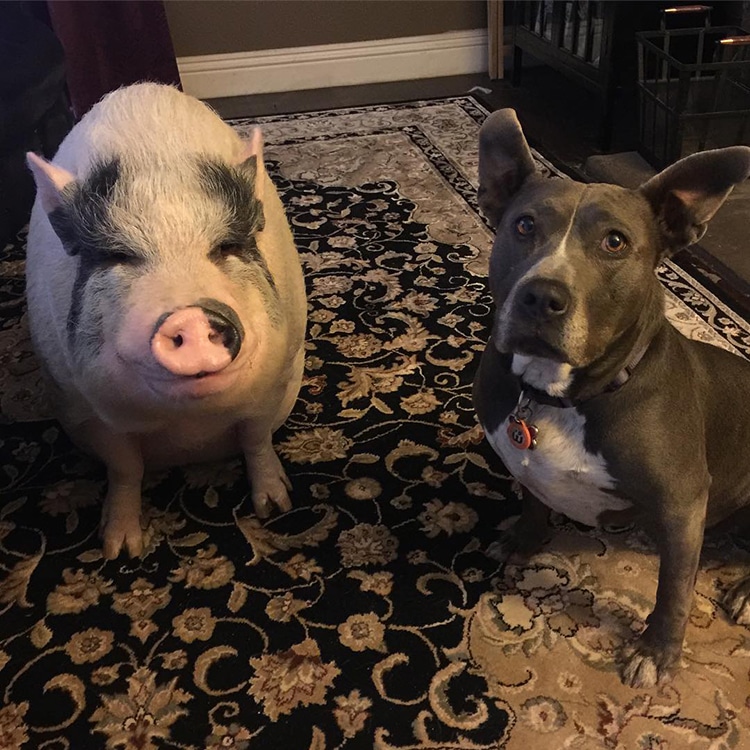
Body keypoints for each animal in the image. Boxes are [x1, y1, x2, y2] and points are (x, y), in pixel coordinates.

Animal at [25, 85, 308, 560]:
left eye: (227, 247)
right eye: (118, 256)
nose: (191, 315)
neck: (188, 428)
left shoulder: (274, 377)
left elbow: (256, 439)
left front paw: (276, 508)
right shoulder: (89, 410)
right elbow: (125, 469)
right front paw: (119, 551)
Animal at [476, 108, 750, 692]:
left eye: (615, 242)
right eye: (524, 225)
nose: (542, 295)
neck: (560, 395)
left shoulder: (682, 505)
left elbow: (674, 589)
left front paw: (656, 653)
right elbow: (533, 500)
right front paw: (522, 542)